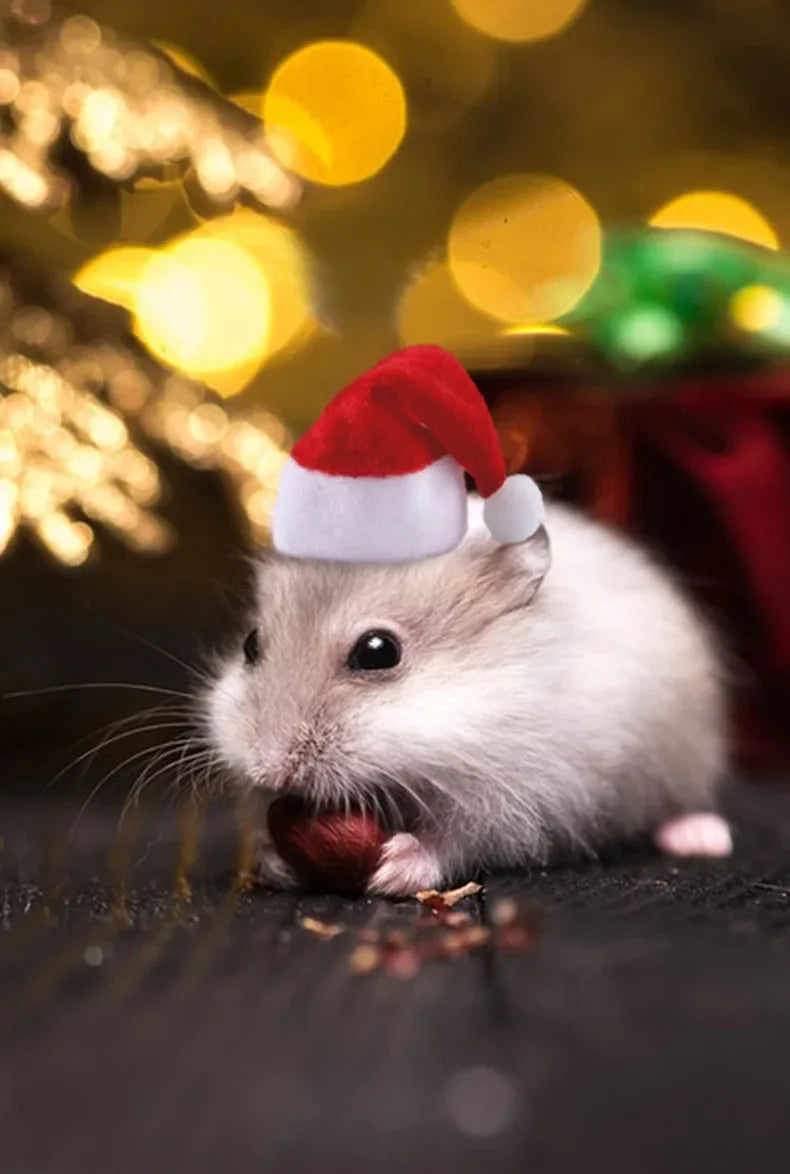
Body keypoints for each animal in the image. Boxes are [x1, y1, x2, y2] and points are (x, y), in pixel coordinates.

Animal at [204, 496, 732, 896]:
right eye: (251, 644)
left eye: (378, 651)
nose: (268, 771)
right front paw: (276, 863)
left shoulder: (518, 800)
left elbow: (454, 840)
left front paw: (392, 870)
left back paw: (703, 838)